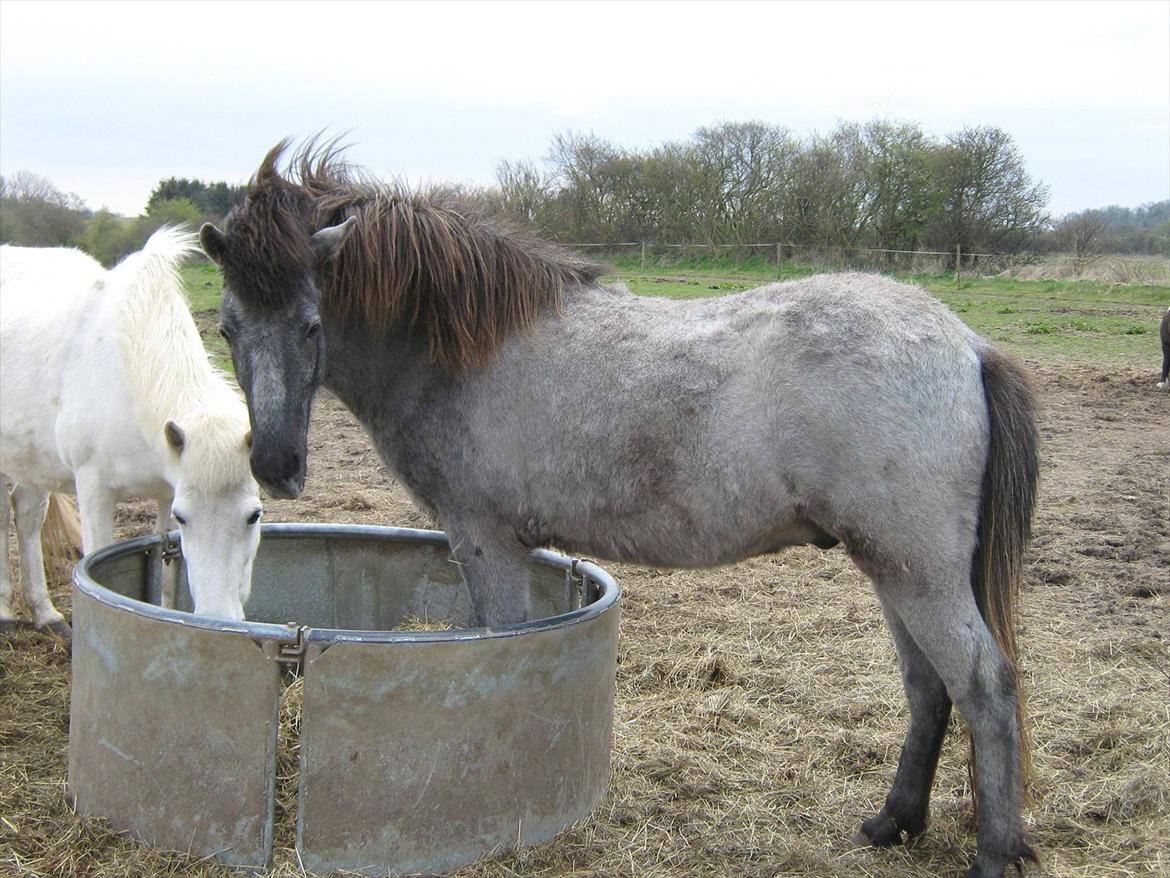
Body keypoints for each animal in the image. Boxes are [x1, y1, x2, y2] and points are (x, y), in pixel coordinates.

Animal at [1, 228, 263, 641]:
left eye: (254, 516)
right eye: (186, 517)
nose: (219, 618)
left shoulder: (166, 492)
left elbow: (169, 578)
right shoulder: (94, 490)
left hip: (31, 457)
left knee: (26, 515)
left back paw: (46, 614)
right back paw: (6, 612)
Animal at [203, 144, 1043, 878]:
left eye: (313, 324)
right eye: (227, 327)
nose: (275, 465)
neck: (463, 352)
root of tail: (967, 346)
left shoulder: (484, 540)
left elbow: (501, 649)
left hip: (916, 572)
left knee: (984, 683)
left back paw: (992, 855)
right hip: (894, 568)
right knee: (929, 687)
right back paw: (894, 822)